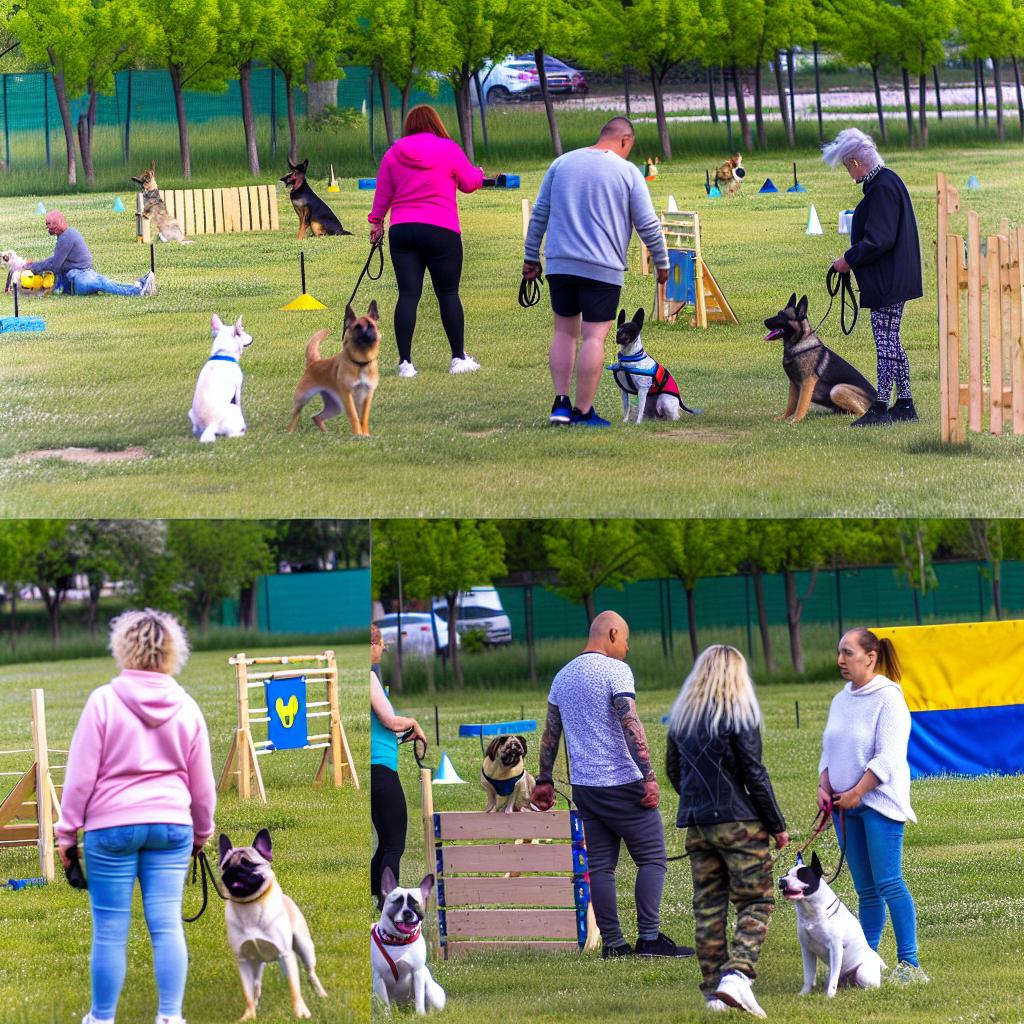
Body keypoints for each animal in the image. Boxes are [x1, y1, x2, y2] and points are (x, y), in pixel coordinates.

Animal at [192, 311, 256, 440]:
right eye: (242, 329)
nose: (252, 337)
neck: (223, 353)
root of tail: (210, 425)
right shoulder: (238, 388)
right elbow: (239, 401)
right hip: (234, 411)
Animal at [220, 827, 327, 1019]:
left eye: (248, 864)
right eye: (224, 866)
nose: (232, 871)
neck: (250, 905)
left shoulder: (285, 954)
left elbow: (295, 989)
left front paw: (300, 1012)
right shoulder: (243, 960)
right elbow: (248, 993)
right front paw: (249, 1016)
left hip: (305, 948)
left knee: (310, 973)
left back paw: (321, 994)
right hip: (256, 964)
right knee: (256, 986)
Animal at [370, 864, 446, 1015]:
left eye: (415, 903)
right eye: (397, 902)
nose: (408, 913)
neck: (398, 941)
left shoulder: (417, 973)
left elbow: (419, 999)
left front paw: (420, 1015)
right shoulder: (379, 977)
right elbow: (384, 1002)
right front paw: (387, 1016)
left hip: (431, 990)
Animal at [778, 847, 884, 999]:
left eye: (801, 876)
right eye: (787, 874)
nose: (781, 881)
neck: (812, 912)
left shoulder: (835, 949)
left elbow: (833, 979)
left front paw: (829, 996)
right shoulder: (806, 949)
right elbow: (808, 975)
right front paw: (803, 994)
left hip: (863, 973)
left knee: (869, 985)